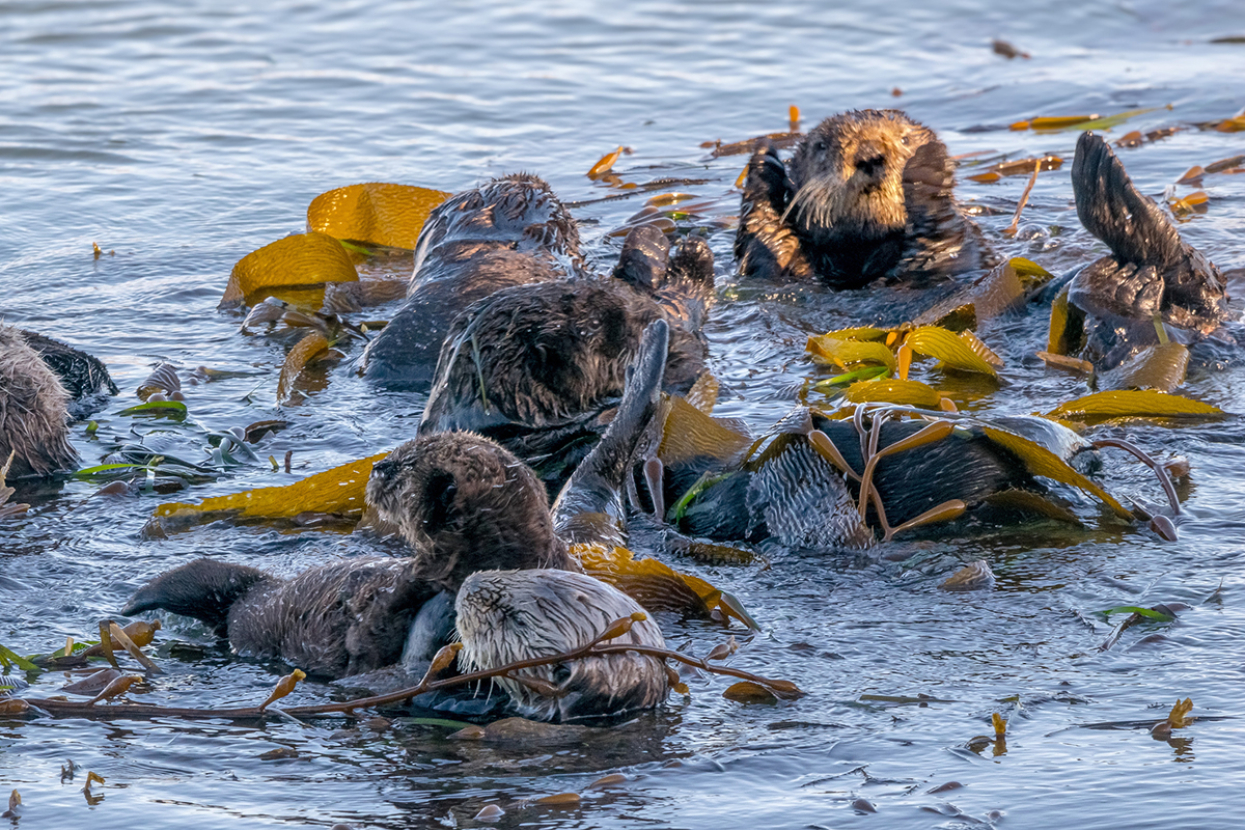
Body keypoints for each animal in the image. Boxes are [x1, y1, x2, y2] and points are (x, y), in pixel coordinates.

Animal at [735, 109, 997, 288]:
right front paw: (764, 160)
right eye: (821, 146)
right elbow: (768, 243)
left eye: (905, 140)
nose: (869, 155)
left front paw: (929, 167)